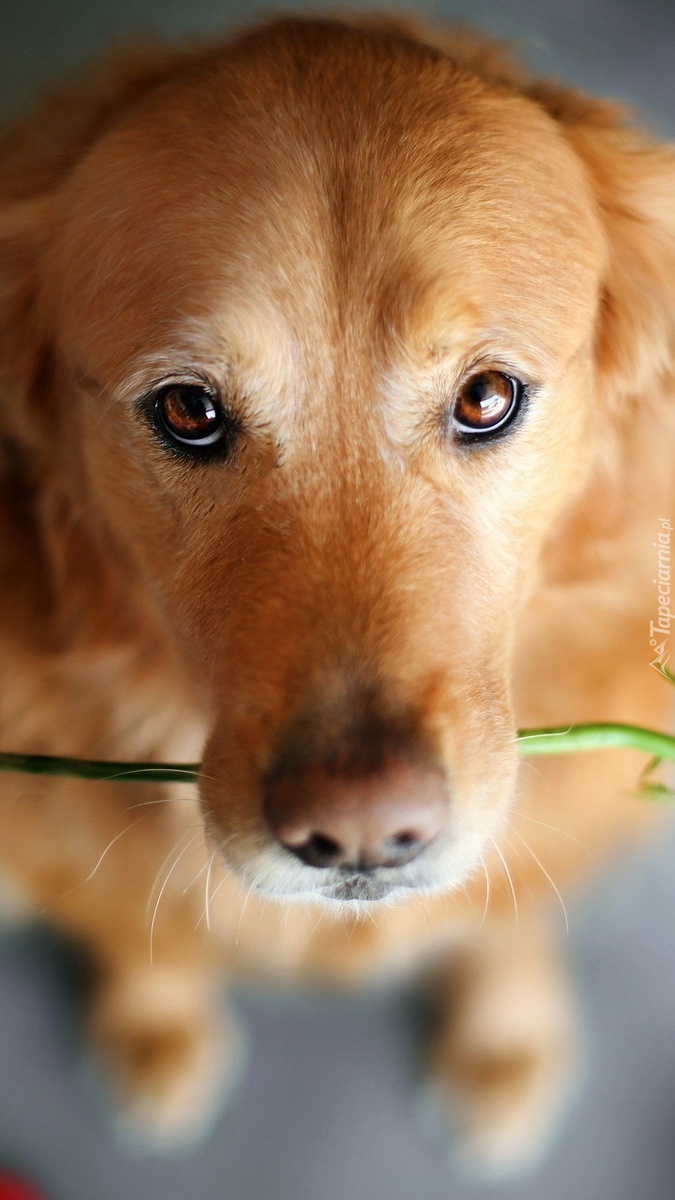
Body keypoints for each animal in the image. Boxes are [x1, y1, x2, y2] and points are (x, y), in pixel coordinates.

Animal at [0, 11, 667, 1171]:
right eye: (187, 410)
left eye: (487, 397)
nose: (359, 833)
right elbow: (129, 926)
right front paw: (155, 1027)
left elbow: (510, 918)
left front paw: (505, 1041)